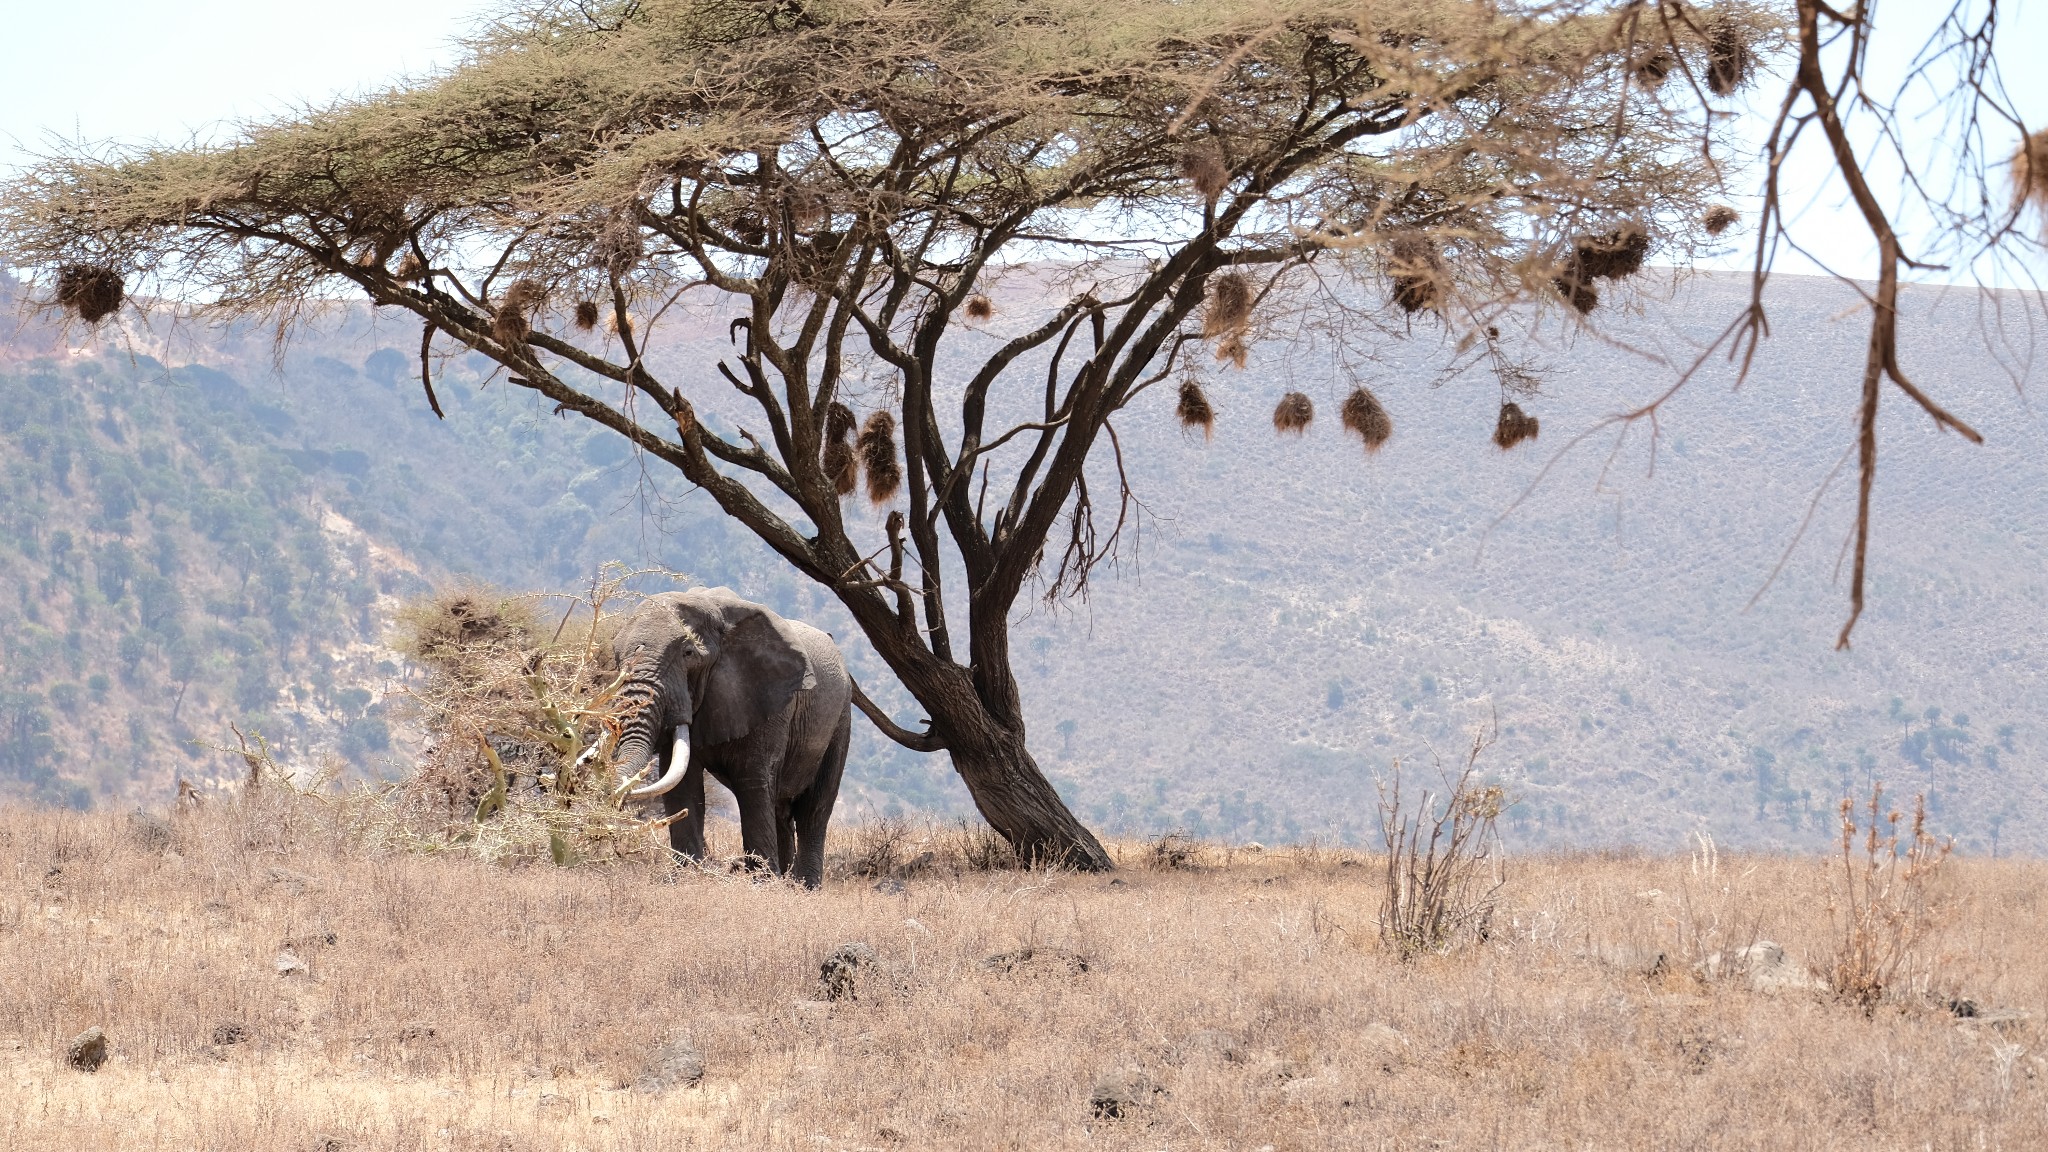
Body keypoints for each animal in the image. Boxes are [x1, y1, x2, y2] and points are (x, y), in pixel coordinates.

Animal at [614, 582, 856, 889]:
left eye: (688, 653)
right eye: (616, 656)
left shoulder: (768, 697)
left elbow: (752, 781)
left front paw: (762, 886)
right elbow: (683, 784)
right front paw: (686, 878)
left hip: (841, 716)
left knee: (814, 809)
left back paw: (806, 888)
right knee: (780, 809)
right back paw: (788, 883)